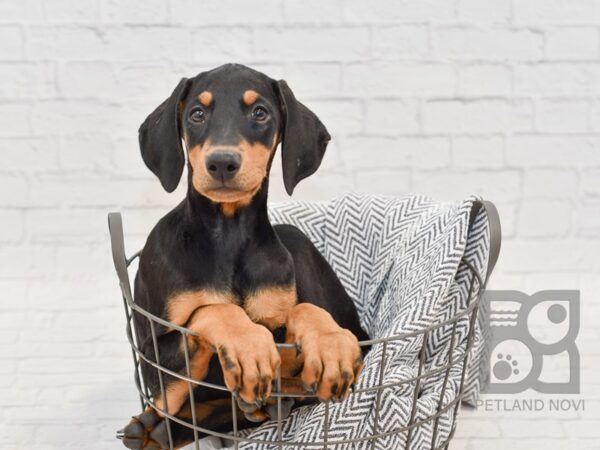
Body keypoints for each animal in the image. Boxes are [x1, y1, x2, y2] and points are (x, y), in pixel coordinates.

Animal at [117, 64, 370, 450]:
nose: (222, 163)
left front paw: (329, 344)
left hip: (297, 241)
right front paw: (248, 346)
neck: (228, 234)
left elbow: (300, 309)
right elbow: (212, 310)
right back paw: (154, 430)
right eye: (197, 114)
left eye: (260, 113)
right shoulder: (153, 360)